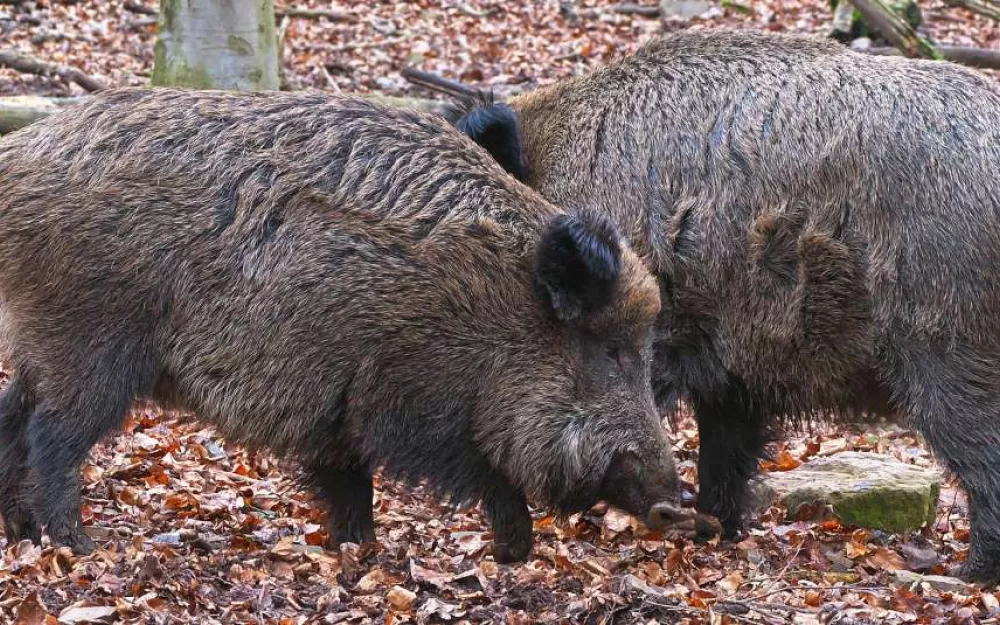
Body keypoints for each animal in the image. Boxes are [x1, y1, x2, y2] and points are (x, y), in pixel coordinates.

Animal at [0, 88, 687, 563]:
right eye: (612, 353)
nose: (672, 505)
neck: (499, 309)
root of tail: (19, 162)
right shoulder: (408, 400)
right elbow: (477, 472)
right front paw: (513, 551)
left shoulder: (337, 406)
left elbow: (348, 483)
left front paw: (357, 551)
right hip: (89, 344)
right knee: (53, 434)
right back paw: (77, 543)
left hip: (45, 343)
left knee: (14, 416)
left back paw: (22, 532)